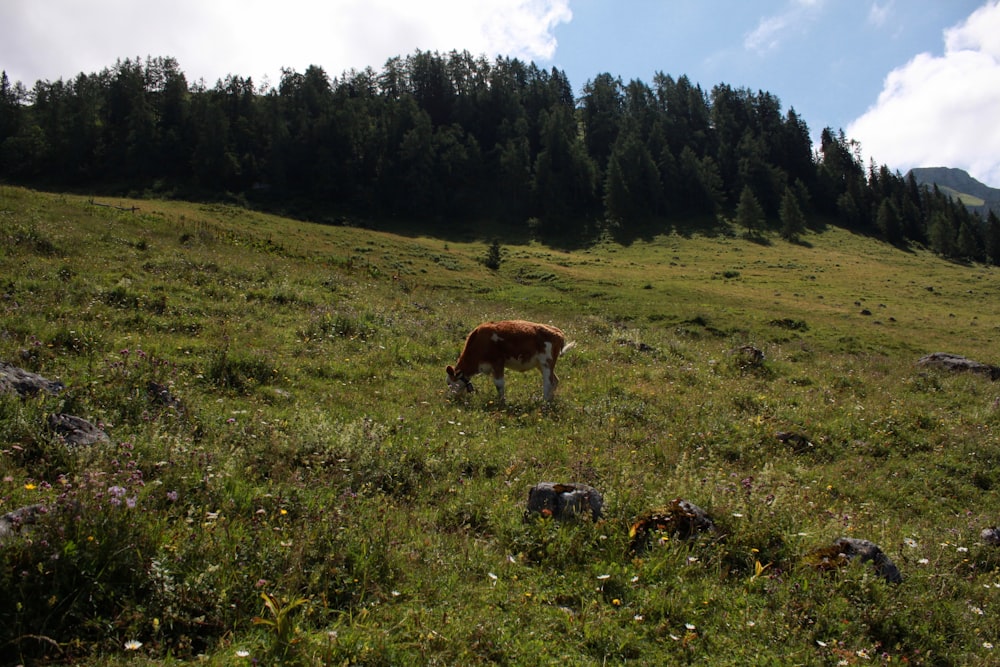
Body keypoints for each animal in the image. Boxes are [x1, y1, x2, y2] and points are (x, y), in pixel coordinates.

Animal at [448, 320, 576, 402]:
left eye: (449, 383)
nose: (449, 397)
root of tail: (557, 331)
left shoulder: (498, 362)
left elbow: (499, 384)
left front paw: (502, 402)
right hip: (541, 364)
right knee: (555, 380)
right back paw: (549, 400)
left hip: (547, 363)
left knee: (548, 382)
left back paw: (544, 402)